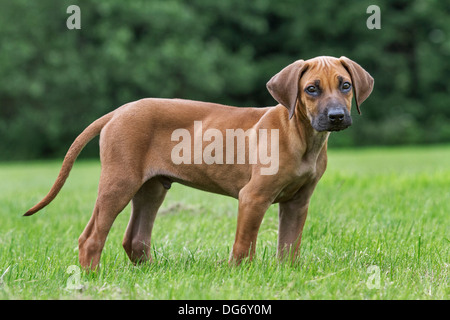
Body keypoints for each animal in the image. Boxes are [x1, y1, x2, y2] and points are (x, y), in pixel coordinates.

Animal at [26, 55, 374, 270]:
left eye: (345, 85)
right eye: (311, 89)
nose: (336, 117)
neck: (302, 137)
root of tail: (119, 110)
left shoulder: (298, 203)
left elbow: (289, 246)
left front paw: (285, 274)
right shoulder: (253, 197)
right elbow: (243, 246)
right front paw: (240, 276)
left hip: (151, 188)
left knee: (135, 239)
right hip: (119, 183)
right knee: (91, 238)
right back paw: (92, 280)